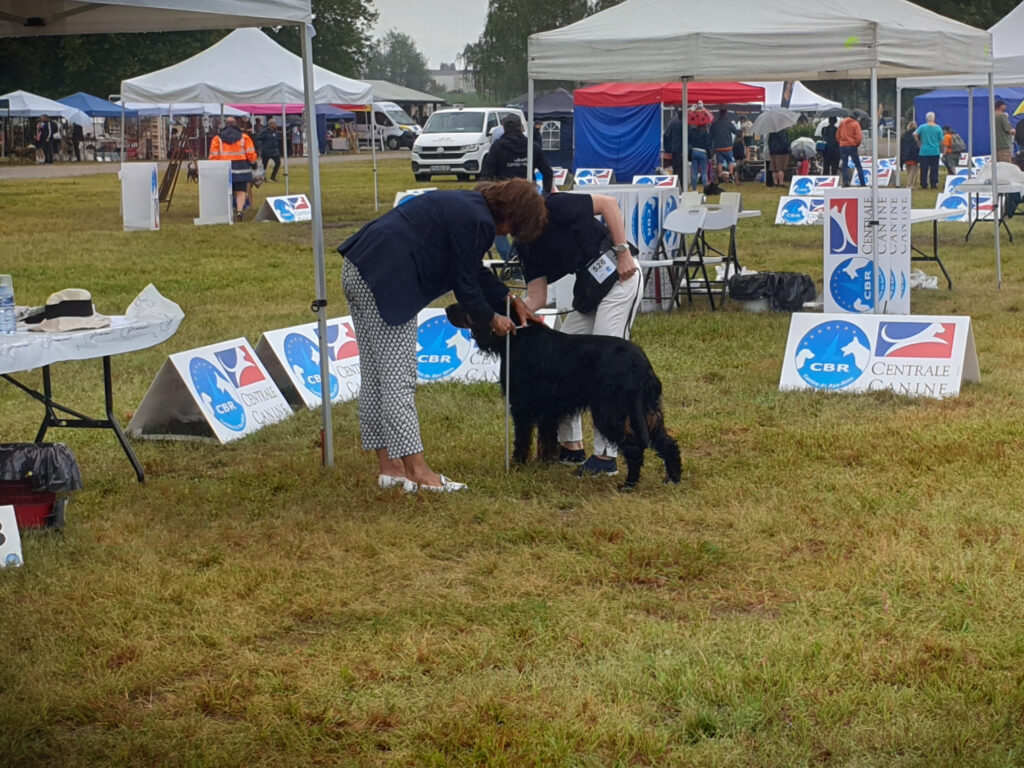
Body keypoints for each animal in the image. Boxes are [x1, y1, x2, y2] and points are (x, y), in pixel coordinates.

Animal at [446, 303, 679, 489]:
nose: (447, 308)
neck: (518, 336)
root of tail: (639, 363)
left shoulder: (522, 405)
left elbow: (522, 439)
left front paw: (518, 464)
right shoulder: (548, 409)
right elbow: (546, 439)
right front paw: (544, 463)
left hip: (610, 412)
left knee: (634, 447)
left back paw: (629, 484)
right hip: (648, 410)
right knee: (667, 442)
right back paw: (673, 478)